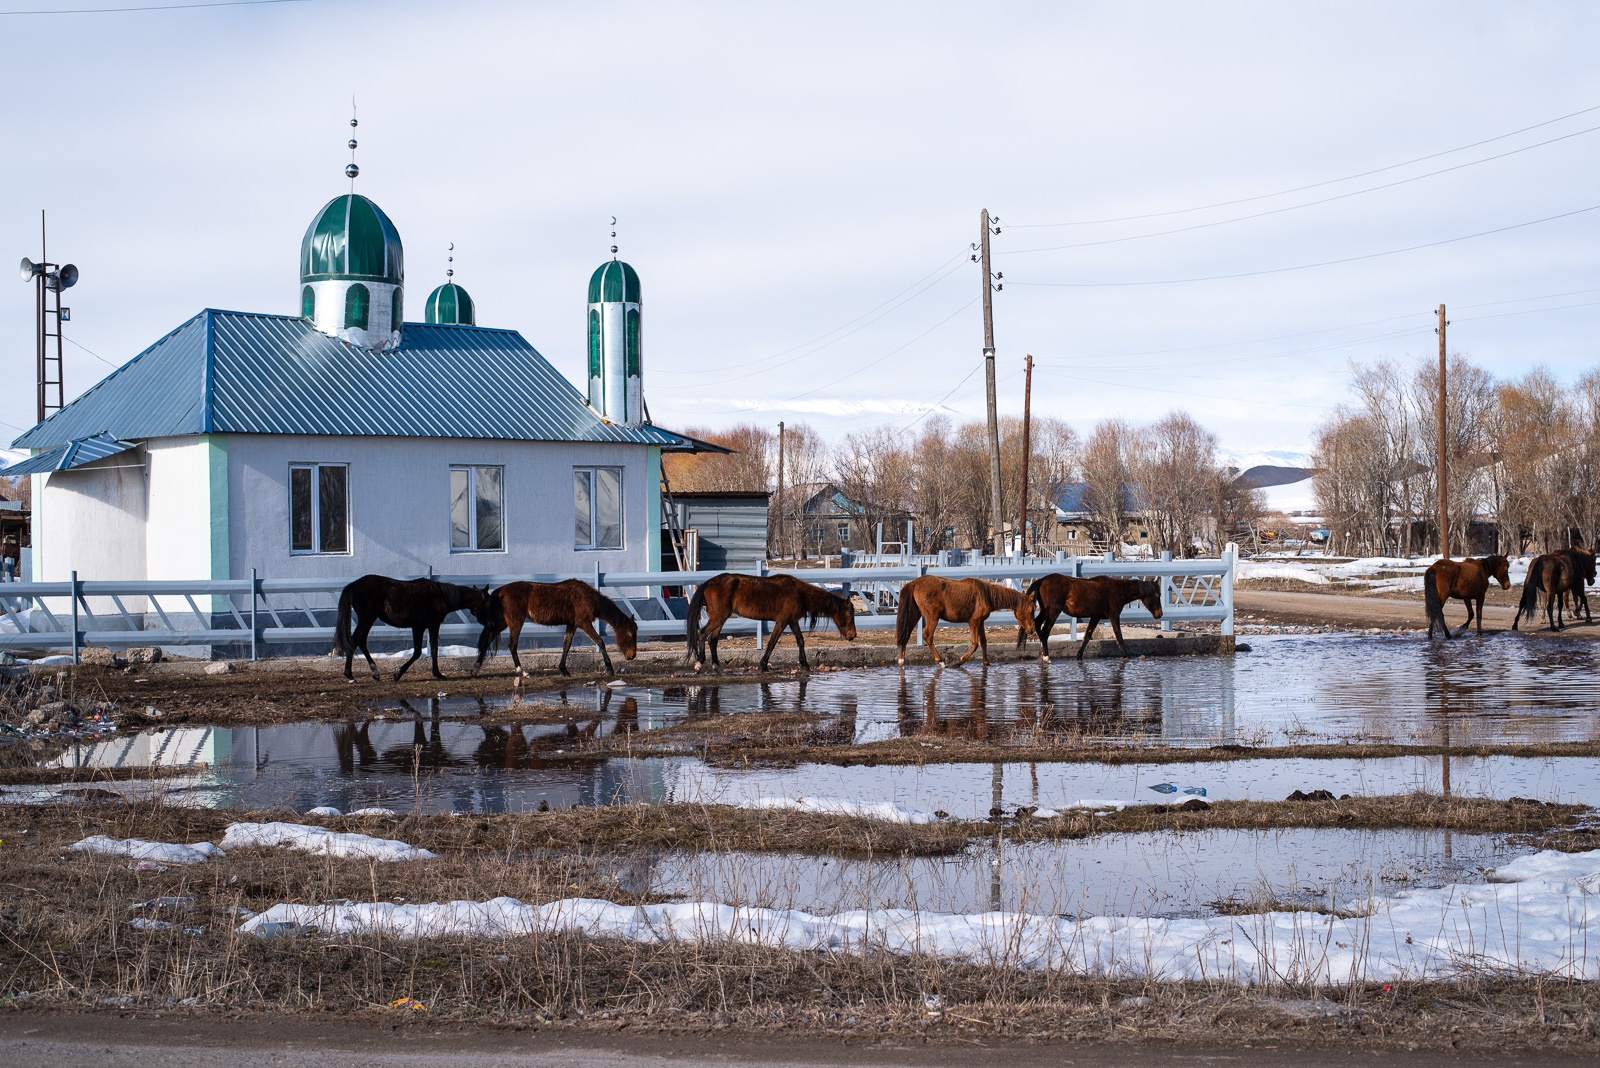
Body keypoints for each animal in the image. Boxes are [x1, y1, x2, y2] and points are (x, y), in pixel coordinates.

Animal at [329, 575, 492, 684]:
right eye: (488, 603)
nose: (491, 624)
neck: (441, 595)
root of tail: (353, 585)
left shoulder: (419, 627)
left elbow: (425, 649)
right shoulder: (429, 625)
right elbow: (426, 650)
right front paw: (400, 674)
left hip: (367, 620)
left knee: (360, 641)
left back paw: (373, 672)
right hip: (367, 619)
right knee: (355, 640)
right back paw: (351, 675)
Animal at [476, 578, 640, 671]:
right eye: (630, 635)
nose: (632, 656)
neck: (587, 596)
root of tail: (499, 591)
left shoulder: (572, 624)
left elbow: (566, 645)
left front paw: (563, 669)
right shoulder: (584, 622)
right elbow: (600, 641)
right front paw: (609, 667)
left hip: (503, 622)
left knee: (489, 638)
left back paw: (476, 668)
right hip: (516, 621)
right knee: (512, 644)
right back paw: (520, 671)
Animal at [688, 572, 864, 671]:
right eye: (850, 615)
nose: (853, 635)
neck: (799, 593)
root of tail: (708, 582)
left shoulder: (792, 621)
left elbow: (800, 640)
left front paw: (804, 664)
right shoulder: (782, 621)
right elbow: (772, 642)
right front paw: (763, 664)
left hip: (721, 618)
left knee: (713, 639)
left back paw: (716, 666)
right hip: (719, 616)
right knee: (702, 633)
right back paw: (699, 661)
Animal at [889, 575, 1036, 668]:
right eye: (1031, 610)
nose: (1032, 629)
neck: (986, 594)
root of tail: (913, 583)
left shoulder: (980, 622)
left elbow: (983, 642)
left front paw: (986, 662)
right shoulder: (973, 622)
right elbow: (975, 644)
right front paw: (958, 662)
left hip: (915, 614)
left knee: (906, 633)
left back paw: (901, 660)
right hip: (932, 617)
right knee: (928, 636)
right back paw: (941, 661)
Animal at [1024, 575, 1164, 658]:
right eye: (1158, 595)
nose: (1160, 614)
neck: (1118, 590)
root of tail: (1042, 580)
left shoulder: (1096, 617)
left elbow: (1087, 636)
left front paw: (1079, 655)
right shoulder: (1114, 615)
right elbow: (1119, 636)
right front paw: (1126, 656)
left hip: (1045, 611)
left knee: (1038, 625)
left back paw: (1042, 652)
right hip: (1053, 612)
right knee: (1045, 631)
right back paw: (1046, 656)